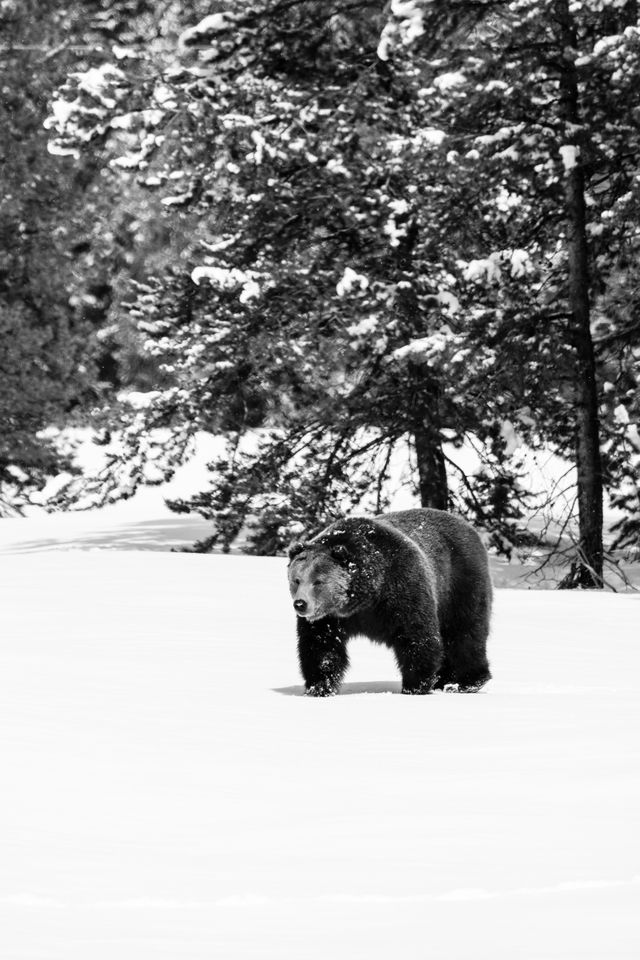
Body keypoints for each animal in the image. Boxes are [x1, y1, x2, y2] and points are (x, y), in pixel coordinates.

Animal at [288, 510, 492, 696]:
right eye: (297, 580)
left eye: (318, 581)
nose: (300, 604)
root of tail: (468, 526)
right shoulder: (329, 618)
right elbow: (320, 646)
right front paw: (319, 687)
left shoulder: (401, 588)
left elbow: (417, 635)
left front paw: (415, 685)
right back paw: (445, 680)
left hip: (458, 585)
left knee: (465, 633)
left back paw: (466, 682)